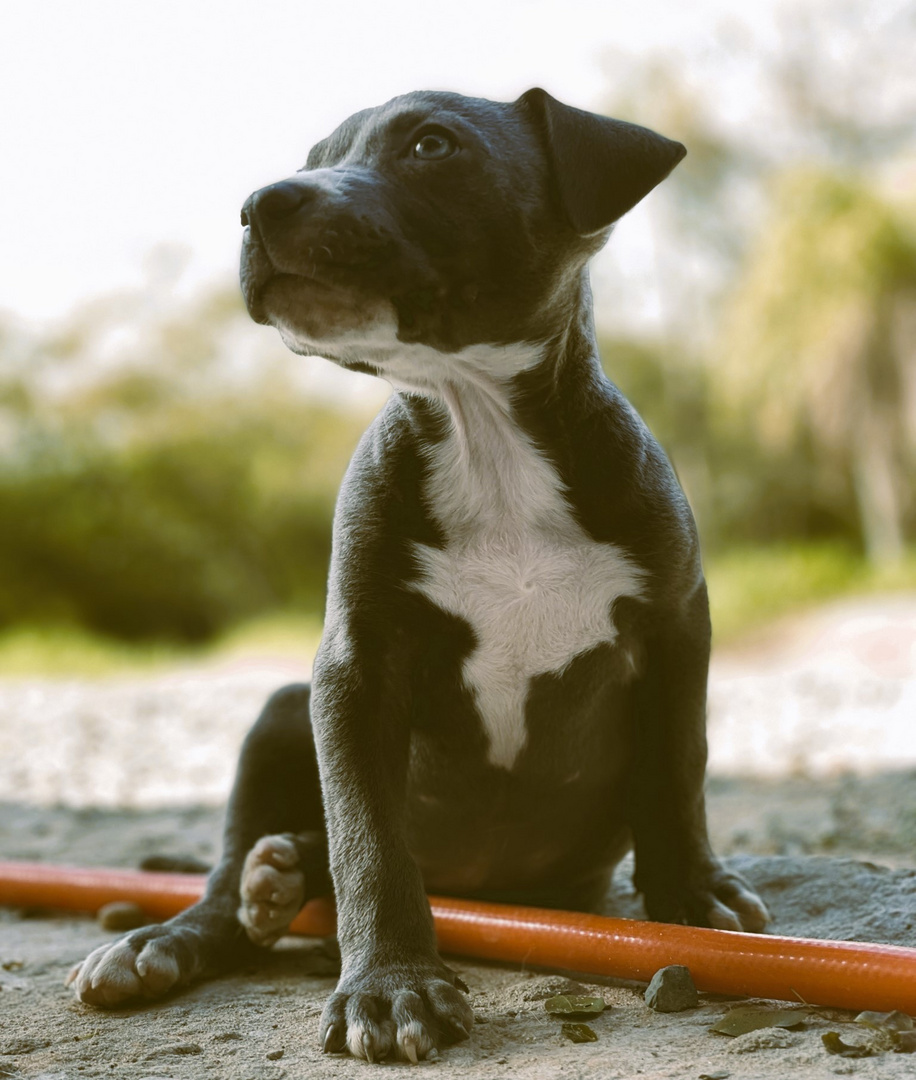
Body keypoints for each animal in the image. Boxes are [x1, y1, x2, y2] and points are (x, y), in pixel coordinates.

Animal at [69, 86, 764, 1062]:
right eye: (315, 158)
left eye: (433, 146)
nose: (259, 203)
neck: (483, 433)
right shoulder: (356, 668)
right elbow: (369, 837)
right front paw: (392, 985)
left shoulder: (672, 629)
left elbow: (676, 769)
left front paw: (692, 898)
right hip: (279, 711)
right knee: (233, 866)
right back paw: (201, 920)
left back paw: (285, 875)